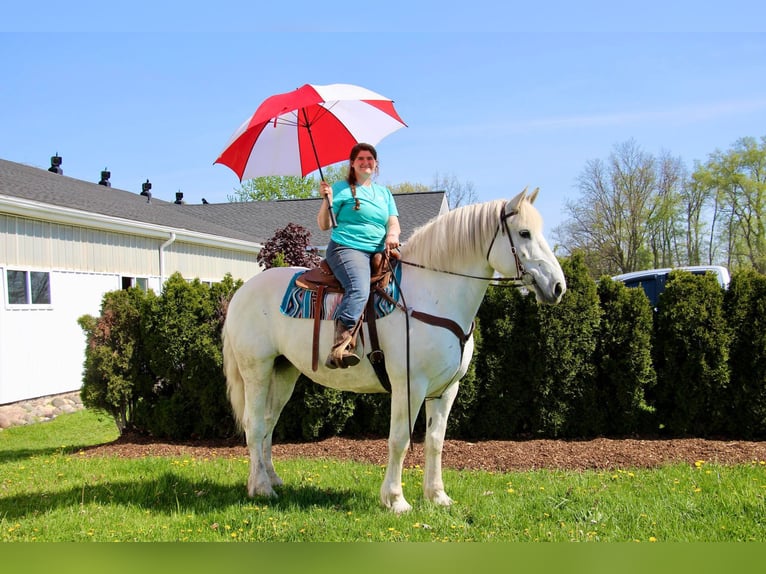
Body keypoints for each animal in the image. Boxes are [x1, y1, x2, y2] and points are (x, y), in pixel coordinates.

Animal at [225, 188, 568, 512]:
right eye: (524, 233)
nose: (558, 287)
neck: (432, 295)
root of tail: (241, 293)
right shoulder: (409, 385)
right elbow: (400, 439)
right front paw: (395, 499)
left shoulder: (447, 389)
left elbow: (435, 441)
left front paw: (438, 496)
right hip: (256, 370)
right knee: (255, 425)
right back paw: (261, 488)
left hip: (284, 372)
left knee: (268, 424)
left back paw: (271, 479)